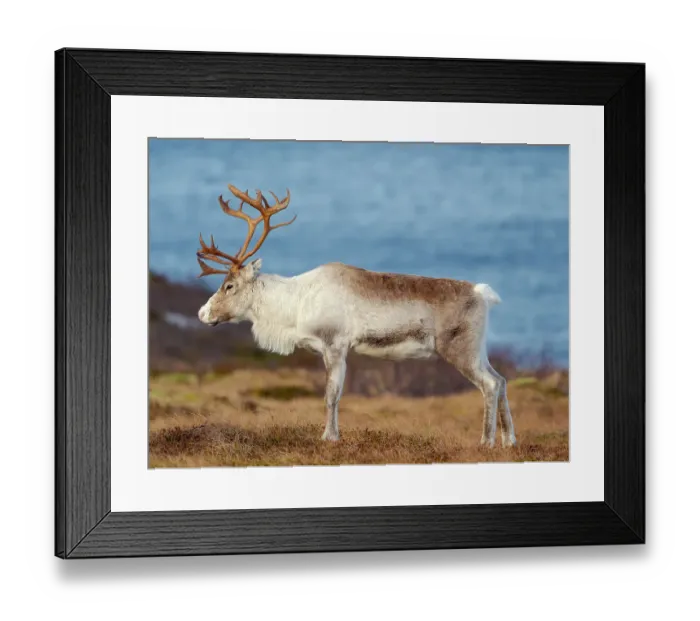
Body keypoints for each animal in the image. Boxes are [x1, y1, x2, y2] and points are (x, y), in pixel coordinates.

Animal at [196, 184, 516, 448]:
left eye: (229, 285)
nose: (202, 313)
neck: (295, 305)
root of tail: (481, 293)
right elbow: (334, 394)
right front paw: (333, 435)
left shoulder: (335, 344)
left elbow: (331, 394)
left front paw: (328, 437)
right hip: (477, 349)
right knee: (500, 380)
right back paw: (509, 441)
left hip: (459, 349)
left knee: (489, 385)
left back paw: (486, 442)